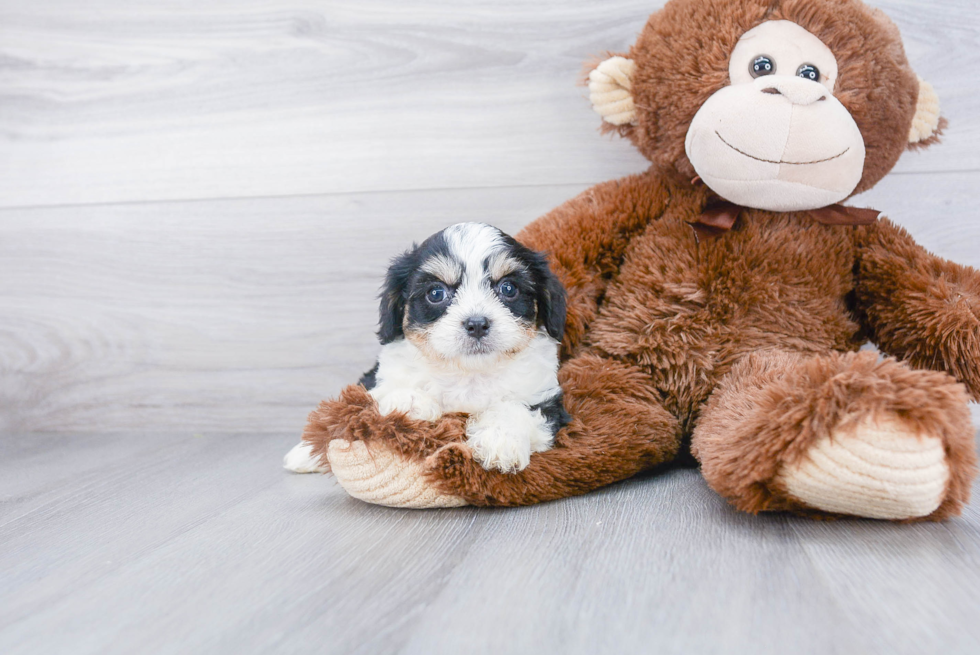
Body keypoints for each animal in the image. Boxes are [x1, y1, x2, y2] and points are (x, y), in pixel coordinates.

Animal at [284, 223, 572, 474]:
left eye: (508, 288)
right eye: (436, 293)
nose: (477, 324)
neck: (468, 373)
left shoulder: (544, 398)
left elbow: (517, 409)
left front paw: (500, 441)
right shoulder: (381, 377)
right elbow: (379, 396)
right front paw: (410, 402)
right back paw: (304, 454)